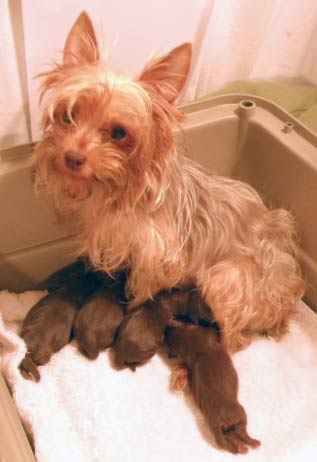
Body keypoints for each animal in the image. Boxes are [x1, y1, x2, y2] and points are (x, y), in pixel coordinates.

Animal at [33, 10, 304, 350]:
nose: (72, 157)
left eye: (119, 132)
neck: (123, 189)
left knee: (235, 340)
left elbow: (140, 293)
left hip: (225, 279)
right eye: (68, 116)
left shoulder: (155, 261)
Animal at [163, 324, 260, 456]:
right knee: (241, 433)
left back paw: (241, 448)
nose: (166, 328)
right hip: (240, 415)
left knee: (227, 440)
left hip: (222, 429)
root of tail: (218, 419)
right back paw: (254, 443)